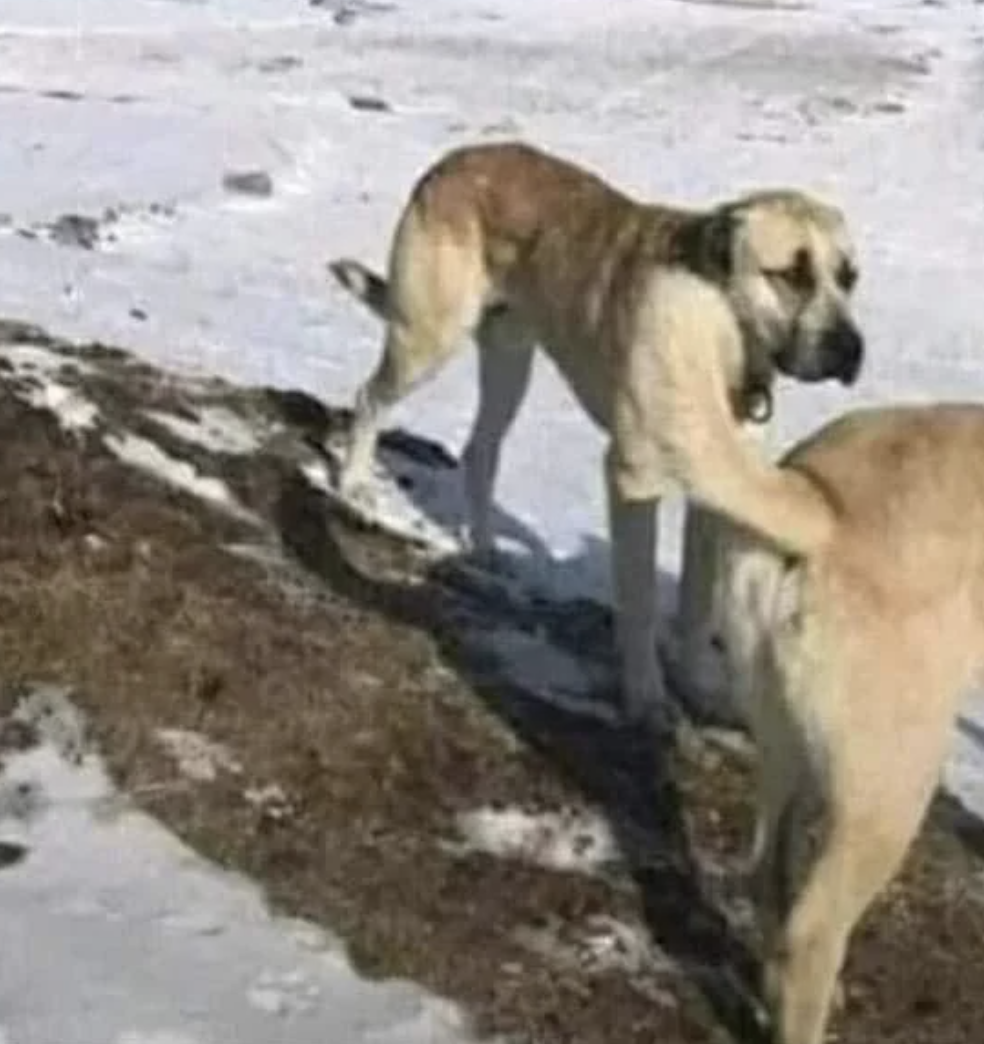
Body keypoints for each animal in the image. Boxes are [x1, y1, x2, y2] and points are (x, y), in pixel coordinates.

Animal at [325, 140, 859, 726]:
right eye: (791, 274)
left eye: (849, 277)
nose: (851, 349)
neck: (724, 332)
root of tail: (453, 160)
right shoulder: (634, 477)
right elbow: (642, 600)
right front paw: (646, 698)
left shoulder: (718, 493)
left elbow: (697, 608)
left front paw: (697, 688)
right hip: (428, 336)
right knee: (369, 399)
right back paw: (353, 485)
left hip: (509, 358)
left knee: (481, 449)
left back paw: (483, 548)